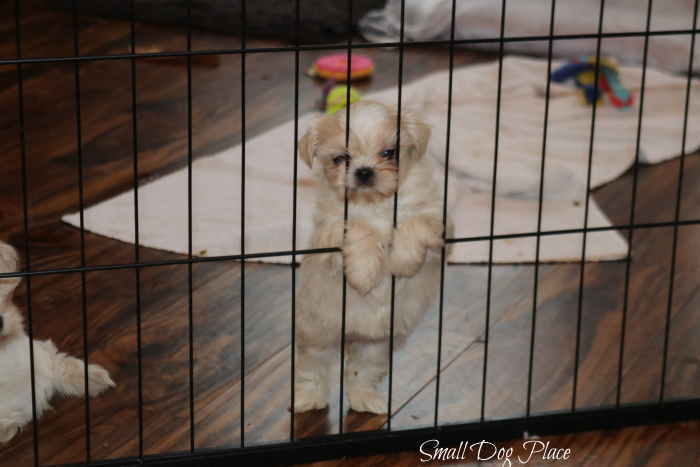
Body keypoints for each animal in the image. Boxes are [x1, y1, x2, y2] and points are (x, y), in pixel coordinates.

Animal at [292, 100, 446, 414]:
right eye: (341, 158)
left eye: (389, 153)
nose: (364, 171)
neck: (376, 204)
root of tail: (352, 334)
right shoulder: (331, 232)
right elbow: (359, 229)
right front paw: (364, 274)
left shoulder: (438, 229)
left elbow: (415, 223)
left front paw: (403, 259)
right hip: (316, 334)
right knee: (312, 368)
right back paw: (308, 399)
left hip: (376, 346)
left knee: (359, 373)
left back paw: (367, 401)